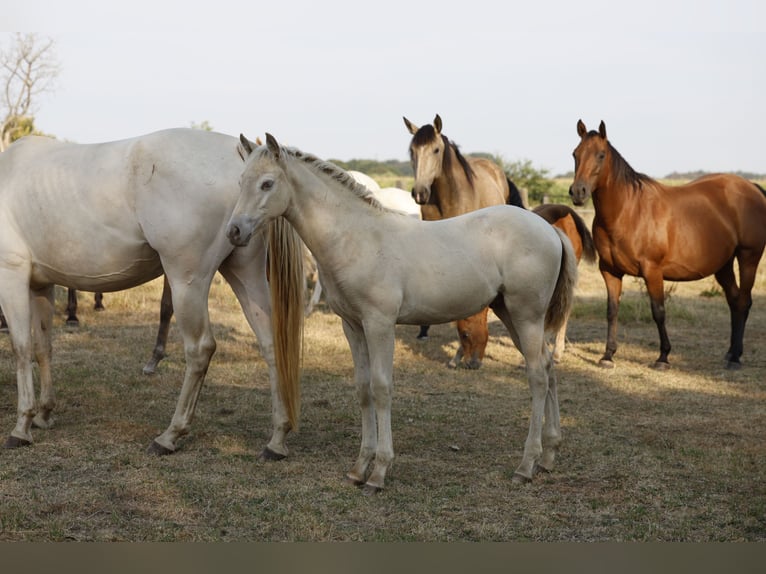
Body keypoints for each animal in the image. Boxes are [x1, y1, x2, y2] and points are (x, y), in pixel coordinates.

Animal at [0, 128, 304, 457]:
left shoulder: (11, 276)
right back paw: (277, 438)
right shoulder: (40, 285)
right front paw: (44, 413)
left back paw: (170, 435)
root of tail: (238, 151)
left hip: (187, 283)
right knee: (272, 344)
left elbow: (21, 348)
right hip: (245, 274)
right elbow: (43, 348)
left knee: (200, 349)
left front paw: (22, 426)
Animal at [570, 120, 766, 370]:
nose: (578, 192)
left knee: (743, 301)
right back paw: (731, 353)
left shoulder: (652, 271)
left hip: (748, 257)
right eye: (575, 154)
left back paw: (736, 358)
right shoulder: (610, 271)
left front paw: (663, 357)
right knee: (734, 301)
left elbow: (658, 311)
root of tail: (753, 188)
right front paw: (607, 355)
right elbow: (612, 311)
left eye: (601, 155)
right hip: (723, 265)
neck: (628, 211)